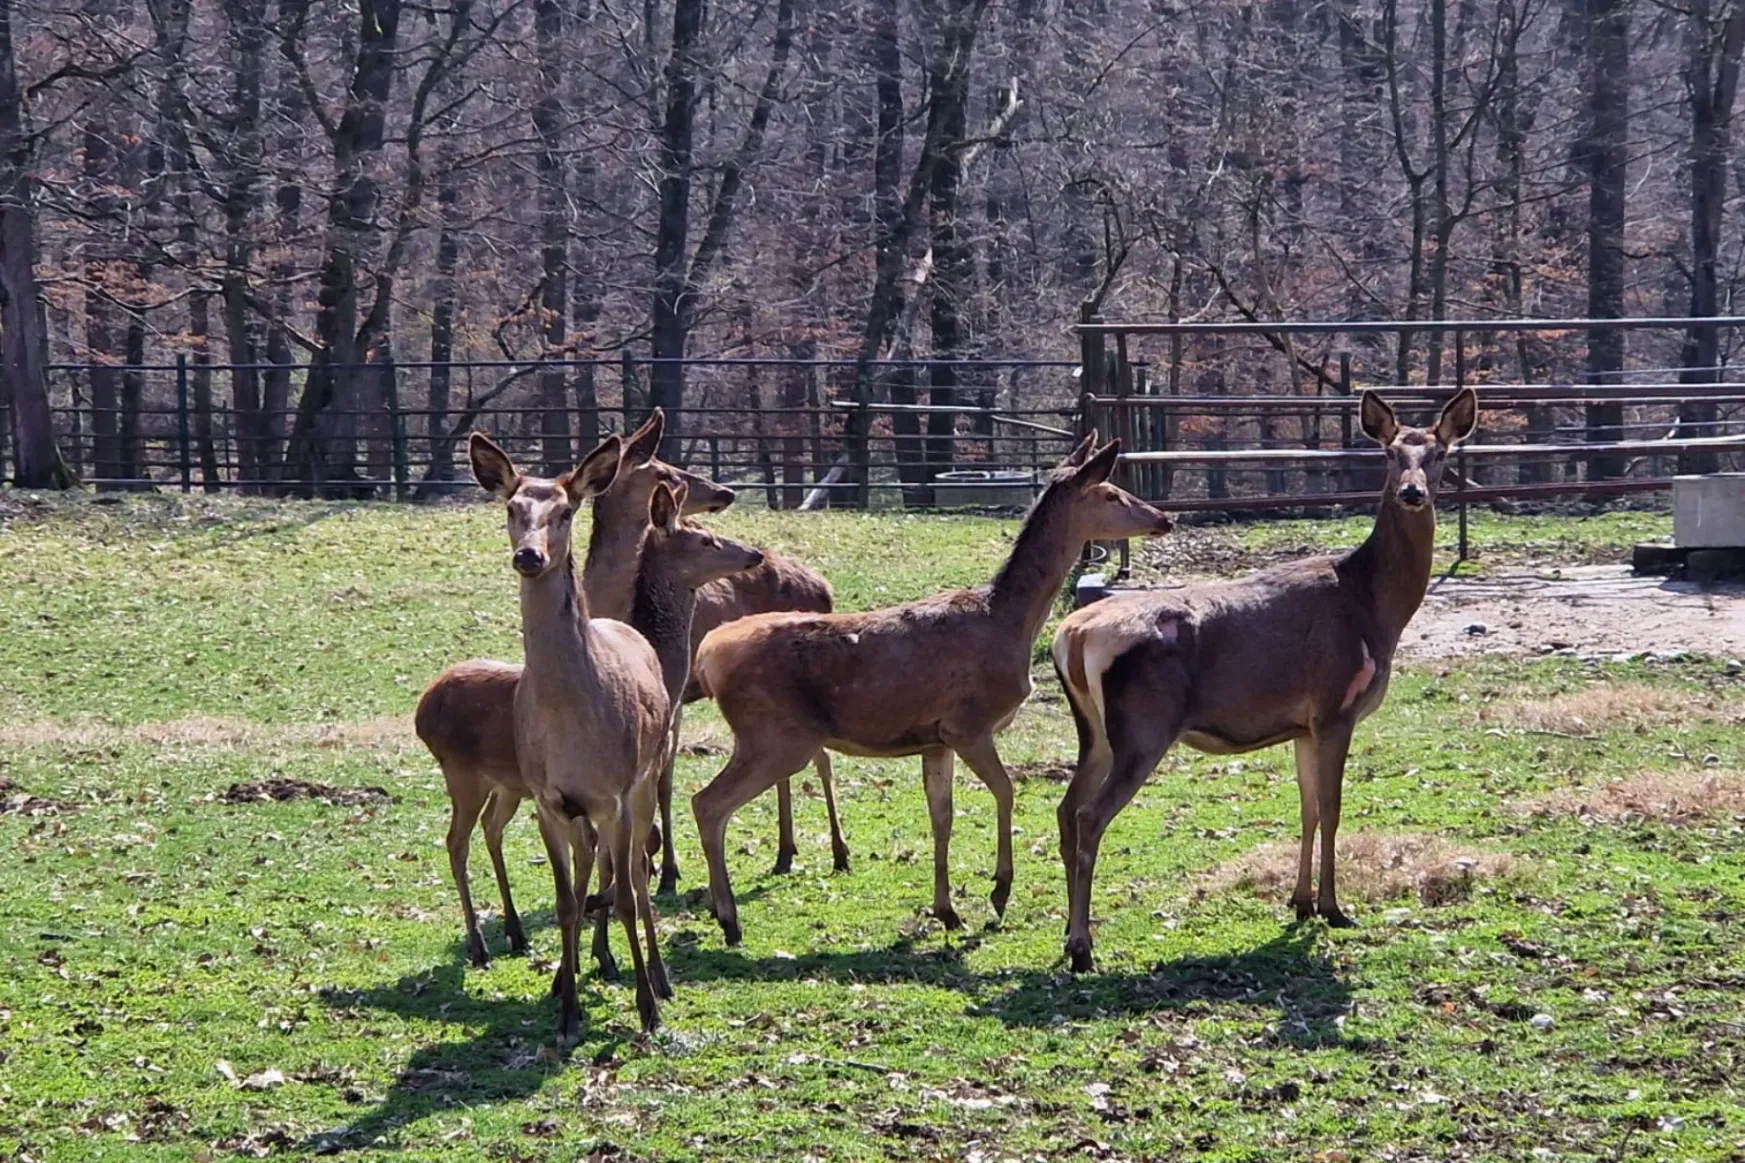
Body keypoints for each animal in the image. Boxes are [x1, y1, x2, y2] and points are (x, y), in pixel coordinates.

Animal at [415, 474, 764, 970]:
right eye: (705, 539)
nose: (754, 554)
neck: (662, 662)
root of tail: (421, 708)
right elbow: (622, 855)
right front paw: (604, 949)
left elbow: (606, 856)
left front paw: (594, 946)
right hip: (460, 772)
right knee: (455, 841)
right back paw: (478, 944)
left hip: (504, 784)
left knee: (490, 830)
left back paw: (516, 932)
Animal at [467, 429, 670, 1033]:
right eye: (512, 508)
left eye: (565, 511)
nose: (529, 555)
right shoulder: (548, 800)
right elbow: (564, 901)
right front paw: (567, 1009)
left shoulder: (616, 795)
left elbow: (625, 893)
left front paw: (647, 1008)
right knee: (588, 871)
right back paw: (569, 974)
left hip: (649, 774)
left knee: (636, 876)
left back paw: (660, 977)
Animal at [582, 406, 848, 887]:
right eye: (665, 471)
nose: (724, 491)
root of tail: (824, 585)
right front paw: (648, 861)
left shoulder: (675, 695)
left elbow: (664, 782)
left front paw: (666, 867)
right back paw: (785, 850)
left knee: (819, 758)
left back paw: (837, 850)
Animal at [687, 433, 1165, 942]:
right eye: (1111, 493)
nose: (1164, 518)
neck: (1010, 623)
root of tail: (710, 656)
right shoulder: (968, 723)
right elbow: (1005, 791)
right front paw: (999, 890)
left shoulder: (935, 740)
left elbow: (942, 816)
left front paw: (946, 908)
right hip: (775, 735)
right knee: (708, 803)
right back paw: (728, 917)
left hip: (768, 737)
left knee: (708, 801)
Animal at [1047, 387, 1472, 970]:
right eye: (1390, 453)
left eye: (1439, 453)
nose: (1412, 492)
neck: (1376, 611)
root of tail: (1072, 635)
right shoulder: (1336, 705)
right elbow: (1333, 809)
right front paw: (1334, 908)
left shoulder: (1302, 724)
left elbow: (1308, 809)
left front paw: (1301, 903)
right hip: (1143, 728)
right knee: (1090, 816)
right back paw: (1083, 947)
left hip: (1095, 733)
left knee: (1066, 809)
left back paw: (1069, 938)